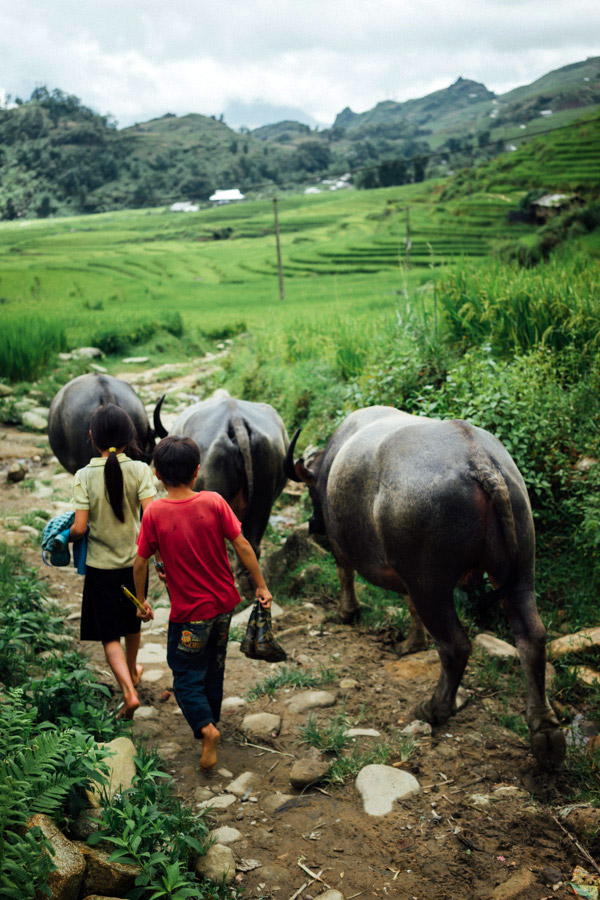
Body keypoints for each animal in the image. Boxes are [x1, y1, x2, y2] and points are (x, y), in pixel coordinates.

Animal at [286, 408, 568, 768]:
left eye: (310, 492)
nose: (312, 523)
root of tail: (478, 458)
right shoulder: (406, 573)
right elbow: (409, 607)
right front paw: (412, 644)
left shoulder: (344, 547)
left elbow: (345, 573)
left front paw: (347, 614)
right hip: (518, 567)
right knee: (532, 637)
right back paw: (546, 735)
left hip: (431, 582)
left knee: (455, 646)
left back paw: (433, 709)